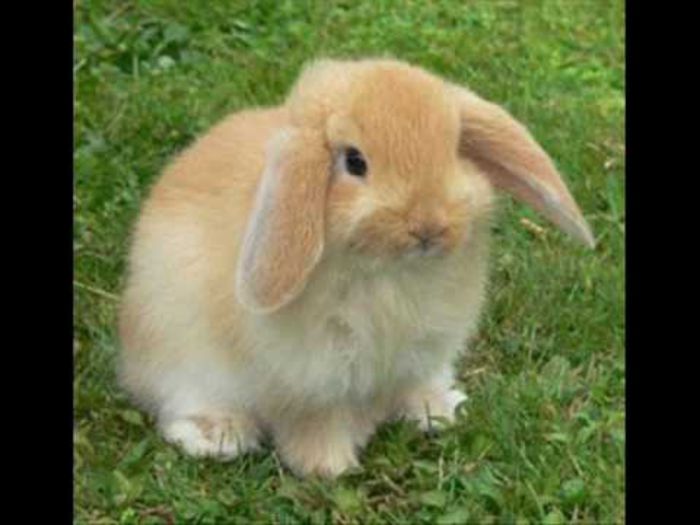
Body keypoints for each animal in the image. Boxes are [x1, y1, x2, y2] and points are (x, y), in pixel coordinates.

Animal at [118, 58, 594, 478]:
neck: (389, 273)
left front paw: (435, 413)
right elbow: (316, 424)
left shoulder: (420, 353)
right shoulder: (313, 381)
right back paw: (217, 436)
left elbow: (409, 385)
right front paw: (329, 468)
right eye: (354, 162)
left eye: (455, 148)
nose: (429, 226)